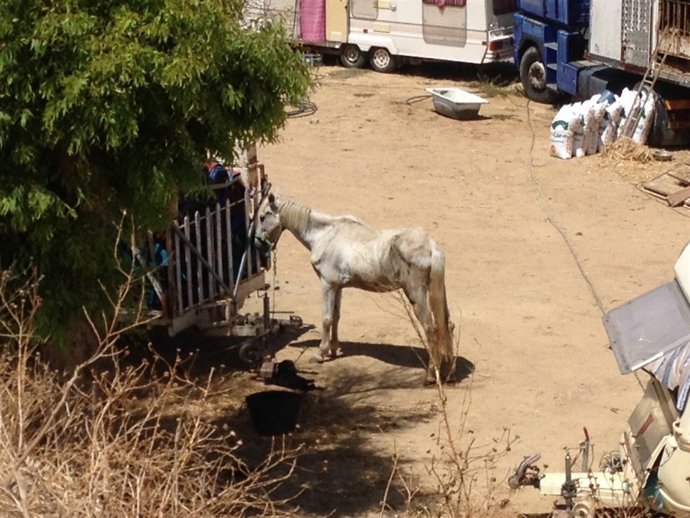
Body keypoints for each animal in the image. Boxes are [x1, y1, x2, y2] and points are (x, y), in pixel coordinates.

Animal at [255, 192, 455, 383]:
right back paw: (449, 373)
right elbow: (336, 317)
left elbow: (326, 318)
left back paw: (431, 376)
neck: (325, 235)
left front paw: (321, 353)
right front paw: (334, 349)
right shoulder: (338, 287)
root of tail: (431, 247)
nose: (257, 243)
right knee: (448, 325)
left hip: (416, 294)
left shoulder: (327, 284)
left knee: (431, 330)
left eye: (263, 216)